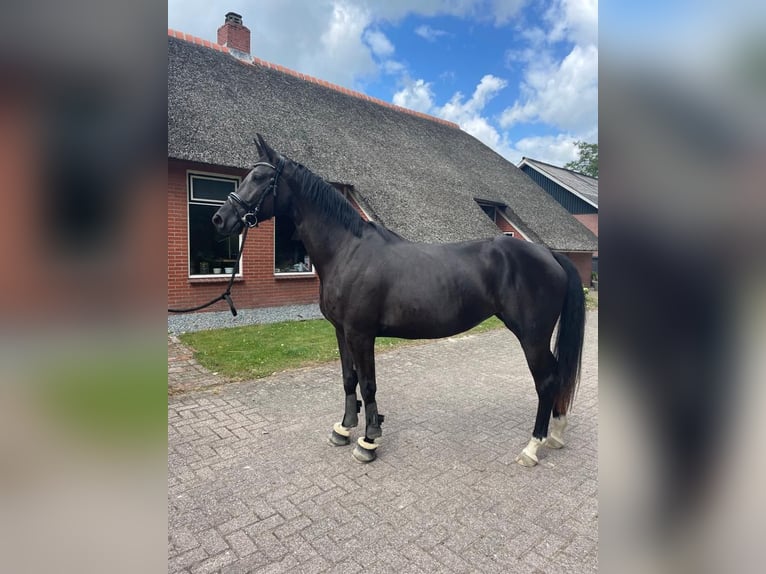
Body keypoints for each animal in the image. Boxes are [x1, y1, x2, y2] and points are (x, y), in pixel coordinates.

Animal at [213, 135, 584, 468]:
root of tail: (548, 253)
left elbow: (368, 385)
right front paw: (344, 428)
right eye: (247, 174)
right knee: (556, 376)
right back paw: (556, 433)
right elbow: (348, 380)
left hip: (531, 337)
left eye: (260, 178)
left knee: (547, 380)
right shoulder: (341, 331)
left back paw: (533, 447)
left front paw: (368, 441)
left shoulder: (361, 334)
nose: (219, 219)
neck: (348, 250)